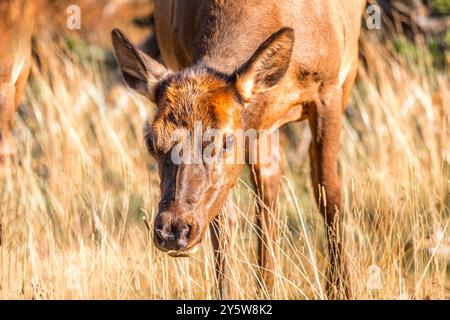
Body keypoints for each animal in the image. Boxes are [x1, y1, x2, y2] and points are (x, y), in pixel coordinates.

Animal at [111, 0, 366, 300]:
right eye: (151, 141)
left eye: (226, 140)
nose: (173, 230)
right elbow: (223, 221)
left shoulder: (329, 88)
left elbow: (328, 192)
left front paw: (341, 289)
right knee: (267, 187)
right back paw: (265, 287)